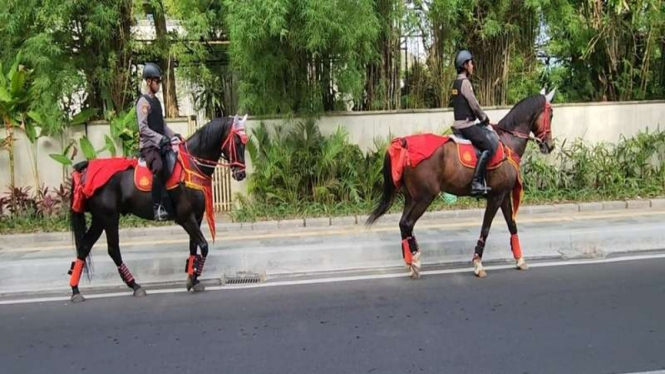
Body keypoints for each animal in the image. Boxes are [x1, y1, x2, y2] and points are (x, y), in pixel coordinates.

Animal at [67, 113, 249, 300]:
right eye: (237, 141)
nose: (241, 174)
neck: (191, 166)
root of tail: (86, 170)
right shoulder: (186, 218)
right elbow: (204, 246)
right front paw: (193, 278)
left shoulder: (196, 218)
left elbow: (194, 247)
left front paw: (194, 279)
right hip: (109, 217)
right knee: (113, 249)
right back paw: (134, 285)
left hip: (99, 218)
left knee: (85, 247)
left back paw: (76, 290)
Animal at [364, 89, 556, 280]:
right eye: (551, 114)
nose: (550, 146)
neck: (507, 141)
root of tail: (404, 144)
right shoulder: (495, 197)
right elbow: (486, 228)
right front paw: (478, 264)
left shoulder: (503, 195)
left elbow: (512, 225)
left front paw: (520, 260)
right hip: (424, 197)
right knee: (407, 223)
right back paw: (416, 261)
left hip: (411, 197)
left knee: (403, 224)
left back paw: (411, 261)